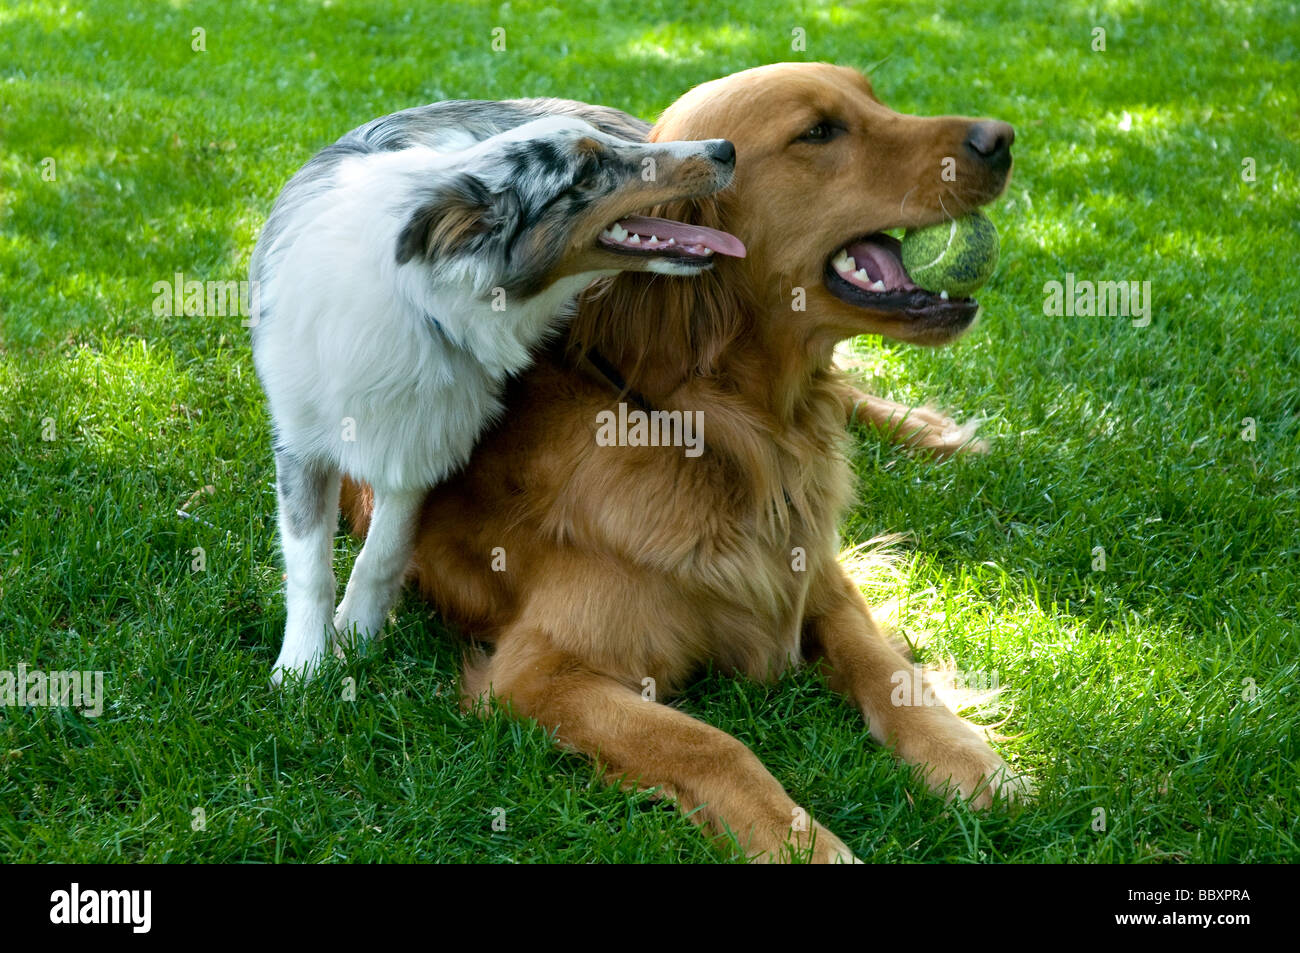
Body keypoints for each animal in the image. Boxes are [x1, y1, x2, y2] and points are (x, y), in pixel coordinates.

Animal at [340, 63, 1019, 858]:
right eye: (819, 131)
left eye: (873, 97)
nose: (1002, 138)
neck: (721, 429)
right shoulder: (539, 670)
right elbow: (710, 745)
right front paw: (802, 840)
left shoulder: (811, 568)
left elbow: (882, 664)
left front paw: (963, 754)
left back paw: (934, 431)